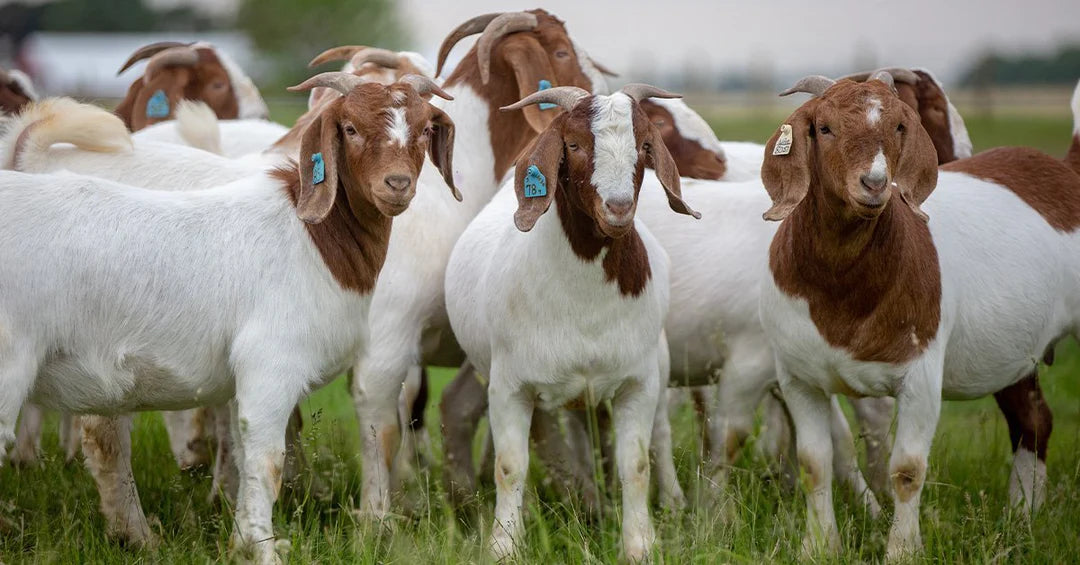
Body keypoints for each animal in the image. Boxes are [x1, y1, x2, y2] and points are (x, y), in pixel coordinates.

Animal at [0, 72, 456, 563]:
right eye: (350, 128)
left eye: (425, 129)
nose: (397, 183)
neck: (311, 237)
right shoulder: (271, 364)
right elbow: (267, 461)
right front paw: (264, 549)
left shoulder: (243, 381)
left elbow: (242, 455)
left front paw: (242, 541)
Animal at [446, 84, 698, 561]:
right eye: (575, 145)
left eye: (644, 146)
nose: (618, 208)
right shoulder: (510, 385)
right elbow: (510, 466)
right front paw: (504, 547)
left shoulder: (637, 382)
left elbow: (636, 463)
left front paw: (639, 545)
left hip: (659, 361)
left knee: (660, 434)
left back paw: (671, 503)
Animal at [758, 73, 1080, 559]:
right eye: (824, 128)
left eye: (898, 126)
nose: (874, 183)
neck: (842, 290)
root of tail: (1067, 171)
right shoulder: (798, 377)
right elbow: (815, 463)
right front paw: (819, 547)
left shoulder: (921, 375)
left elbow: (907, 470)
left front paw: (902, 551)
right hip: (1013, 348)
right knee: (1034, 419)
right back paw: (1022, 516)